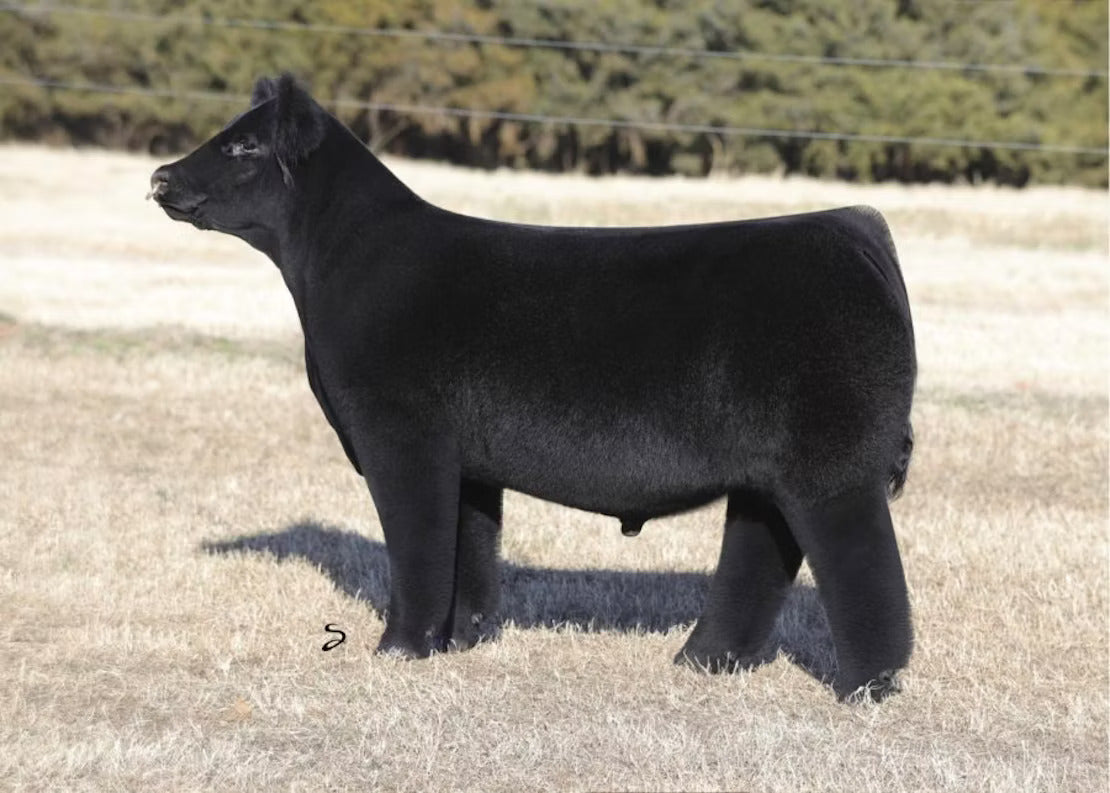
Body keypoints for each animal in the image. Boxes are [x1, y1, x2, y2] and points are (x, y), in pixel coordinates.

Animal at [150, 74, 917, 701]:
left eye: (244, 146)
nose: (159, 177)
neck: (337, 266)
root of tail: (854, 225)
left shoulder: (400, 435)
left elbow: (419, 542)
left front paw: (399, 648)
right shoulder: (466, 458)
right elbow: (469, 547)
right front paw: (461, 641)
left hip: (832, 465)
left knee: (863, 564)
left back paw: (865, 687)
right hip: (769, 473)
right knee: (760, 553)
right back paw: (701, 660)